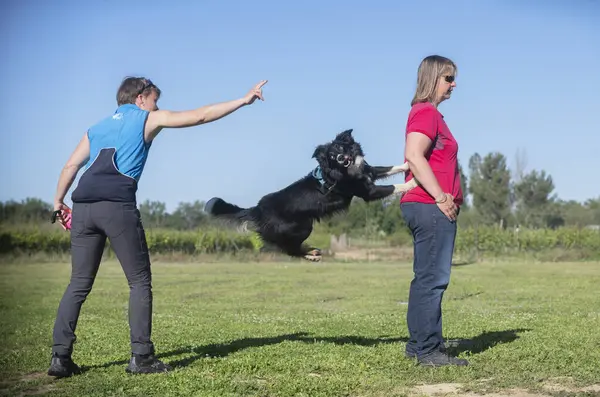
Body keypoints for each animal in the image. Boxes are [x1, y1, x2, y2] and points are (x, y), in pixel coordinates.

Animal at [204, 129, 414, 260]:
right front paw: (413, 183)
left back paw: (311, 252)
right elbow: (394, 187)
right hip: (302, 227)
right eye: (331, 156)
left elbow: (387, 168)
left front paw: (407, 165)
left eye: (340, 148)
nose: (340, 157)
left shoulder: (368, 171)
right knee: (289, 250)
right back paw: (310, 254)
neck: (344, 169)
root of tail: (256, 209)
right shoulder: (367, 192)